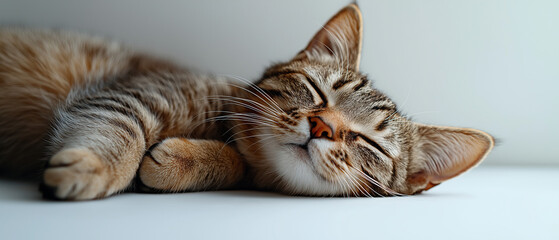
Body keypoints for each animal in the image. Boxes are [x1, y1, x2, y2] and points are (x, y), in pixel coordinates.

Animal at [0, 3, 494, 200]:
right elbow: (122, 134)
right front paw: (96, 167)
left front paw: (185, 160)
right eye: (318, 92)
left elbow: (237, 163)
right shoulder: (127, 94)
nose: (322, 127)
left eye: (367, 142)